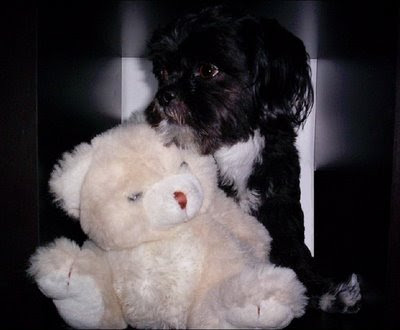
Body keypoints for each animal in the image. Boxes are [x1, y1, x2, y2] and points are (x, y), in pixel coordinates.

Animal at [145, 5, 360, 314]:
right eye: (162, 71)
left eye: (207, 70)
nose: (164, 95)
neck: (232, 144)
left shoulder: (280, 202)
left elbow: (294, 248)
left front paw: (320, 290)